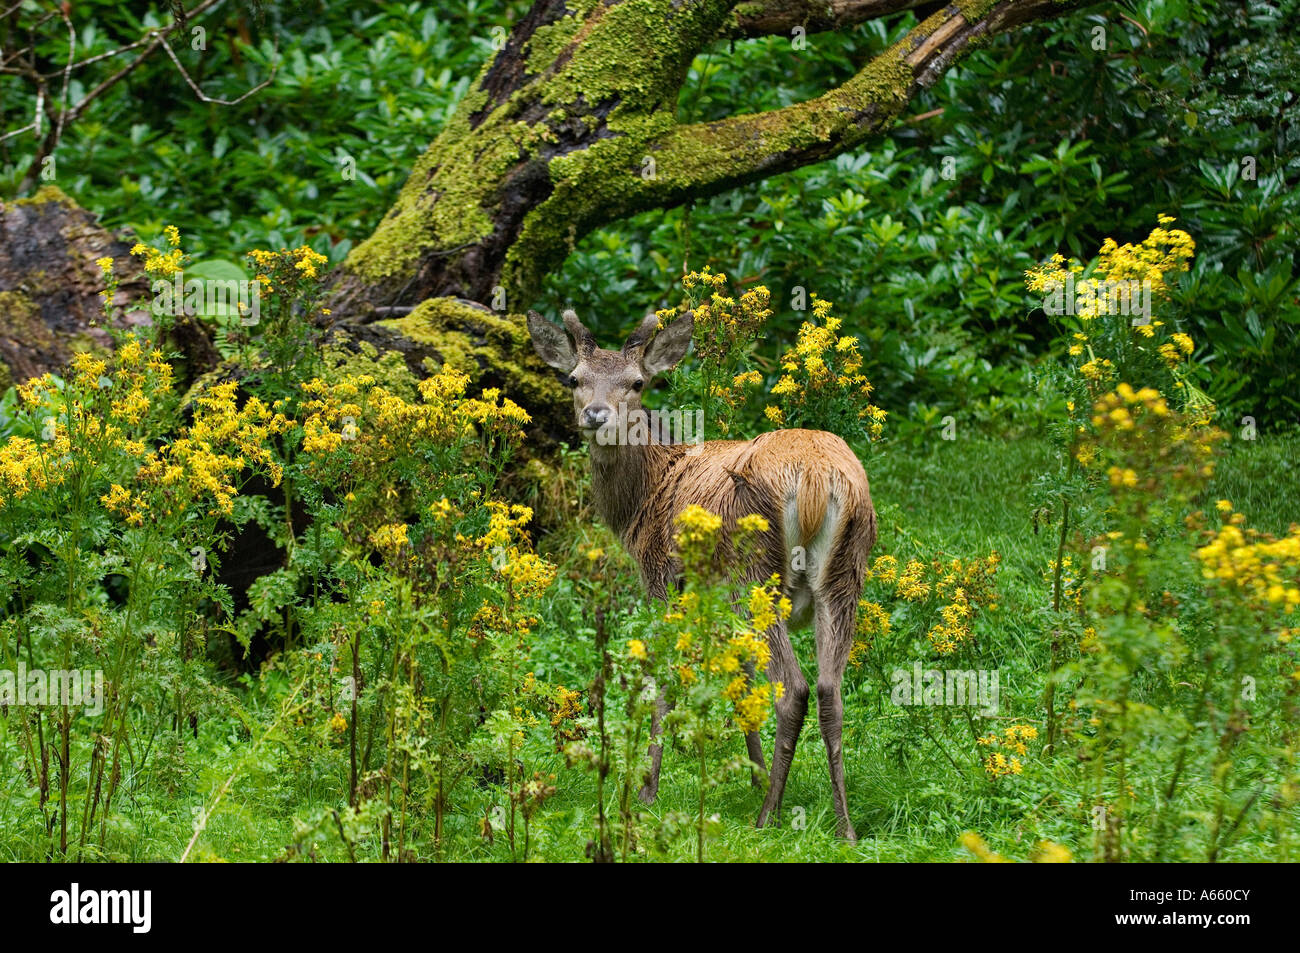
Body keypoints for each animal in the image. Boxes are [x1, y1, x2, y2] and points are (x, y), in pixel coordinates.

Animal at [530, 306, 883, 842]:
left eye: (637, 382)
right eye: (574, 379)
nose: (596, 415)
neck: (641, 501)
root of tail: (816, 478)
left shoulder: (660, 579)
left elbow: (662, 679)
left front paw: (648, 788)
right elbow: (740, 676)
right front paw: (753, 774)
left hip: (754, 572)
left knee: (795, 688)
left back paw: (769, 816)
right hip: (846, 573)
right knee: (830, 691)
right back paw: (844, 826)